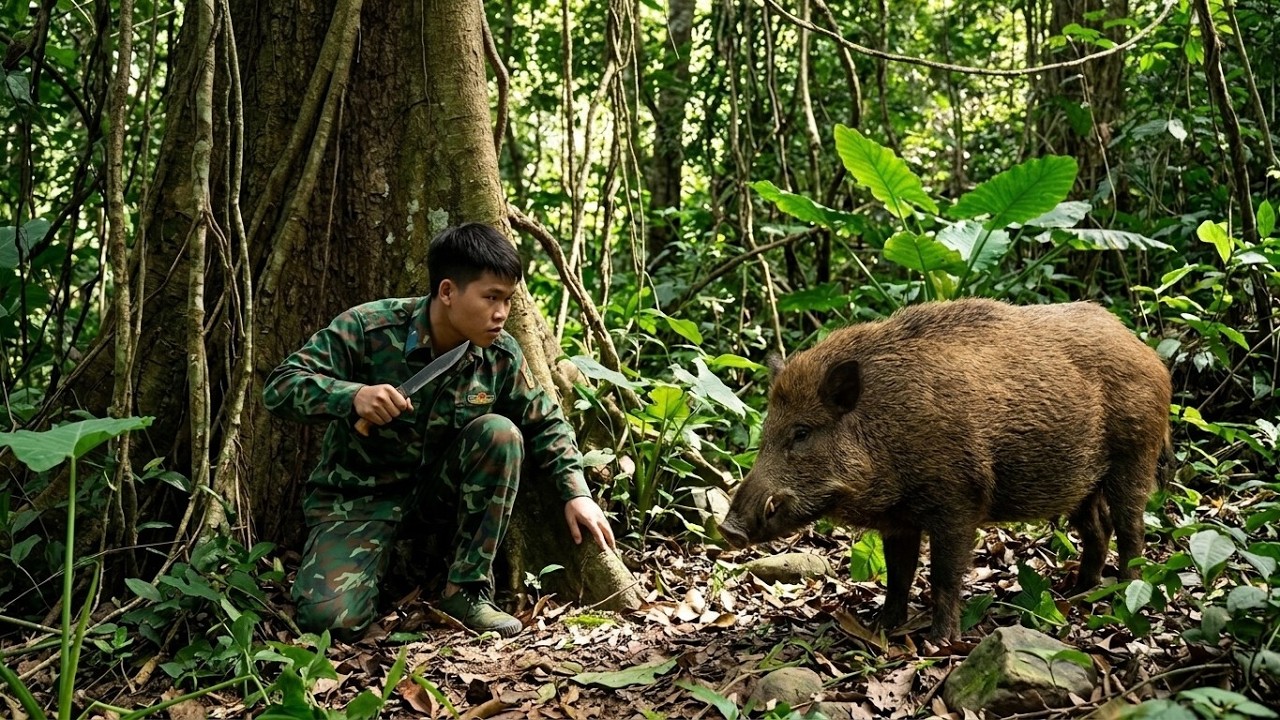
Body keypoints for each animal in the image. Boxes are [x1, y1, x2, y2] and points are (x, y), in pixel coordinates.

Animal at [718, 298, 1172, 642]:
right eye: (767, 430)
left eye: (801, 432)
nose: (728, 529)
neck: (884, 428)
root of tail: (1149, 354)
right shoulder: (898, 520)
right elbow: (899, 574)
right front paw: (882, 627)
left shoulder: (958, 500)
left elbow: (944, 575)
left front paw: (940, 641)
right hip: (1083, 482)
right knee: (1098, 527)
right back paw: (1078, 591)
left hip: (1135, 454)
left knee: (1131, 527)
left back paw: (1123, 593)